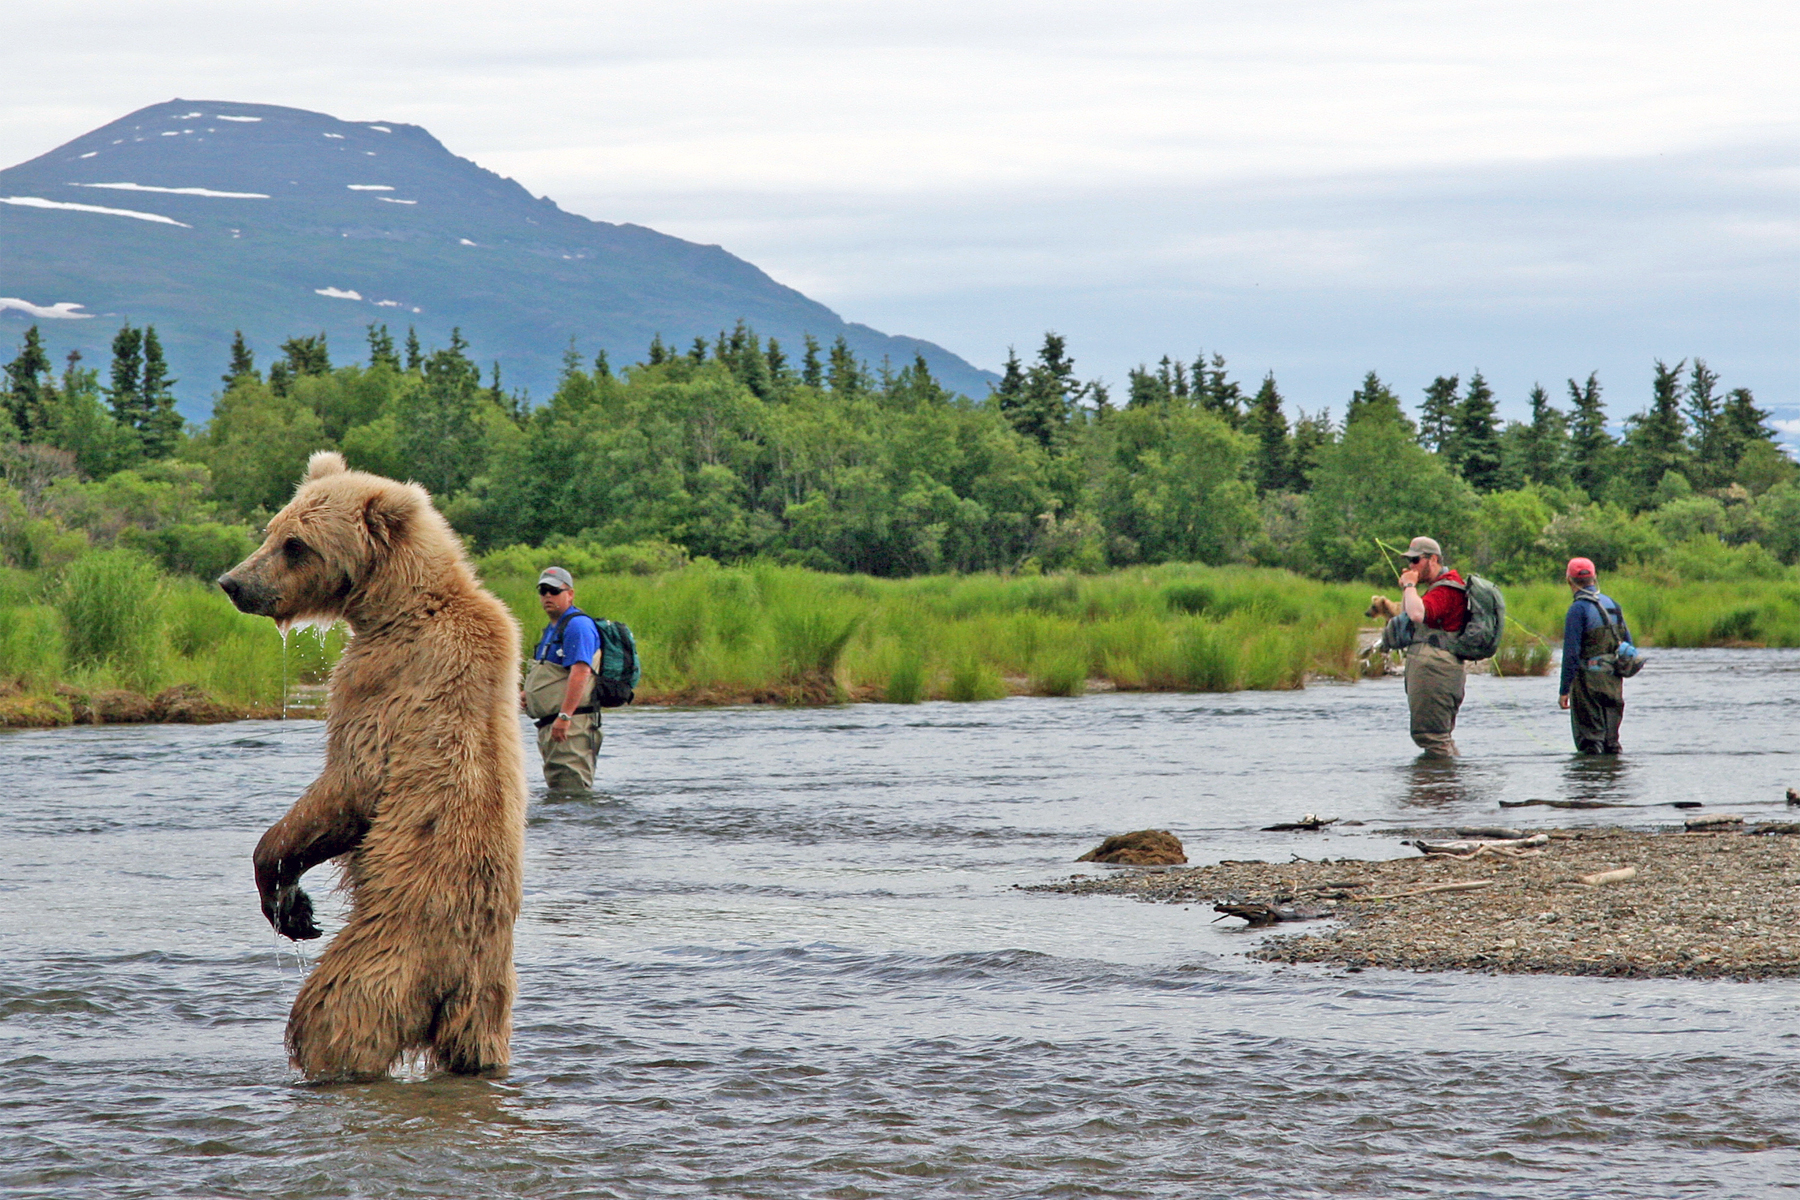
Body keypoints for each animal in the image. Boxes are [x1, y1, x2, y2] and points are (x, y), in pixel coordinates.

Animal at [216, 447, 525, 1079]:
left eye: (296, 544)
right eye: (272, 529)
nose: (234, 583)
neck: (396, 605)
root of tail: (451, 979)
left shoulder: (381, 682)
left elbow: (348, 786)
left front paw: (285, 894)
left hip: (384, 960)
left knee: (330, 1018)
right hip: (489, 997)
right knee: (478, 1047)